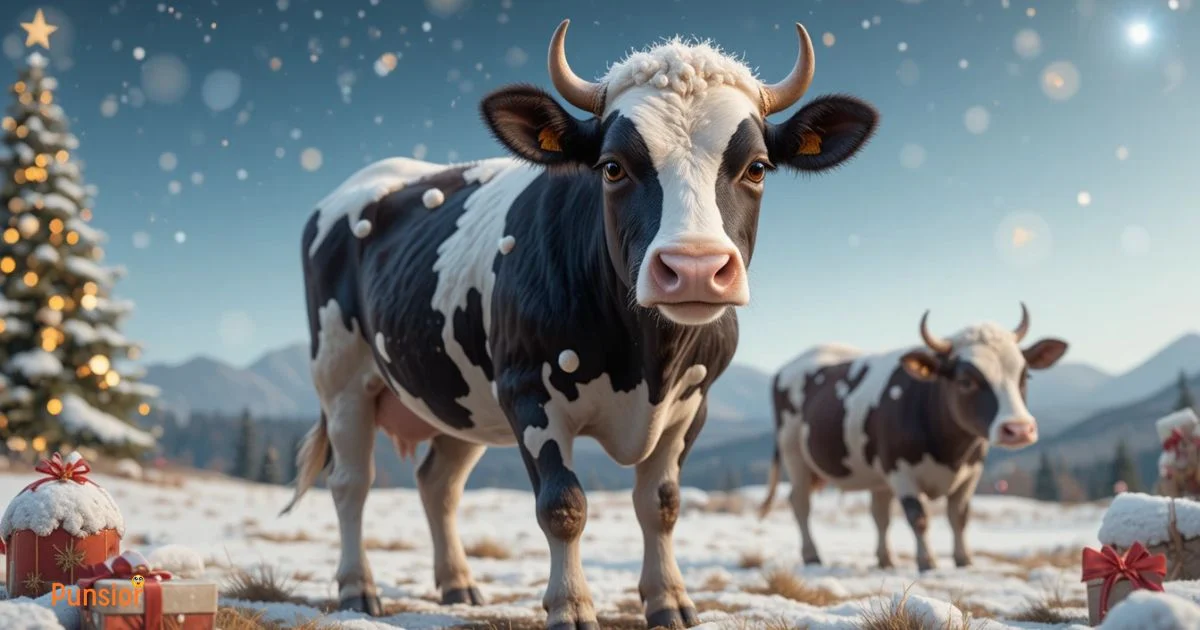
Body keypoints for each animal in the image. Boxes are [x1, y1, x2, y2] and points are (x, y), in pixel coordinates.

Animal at [282, 20, 878, 629]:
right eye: (613, 167)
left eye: (756, 167)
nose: (692, 268)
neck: (649, 362)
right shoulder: (529, 390)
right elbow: (563, 505)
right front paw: (570, 605)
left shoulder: (694, 402)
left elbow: (661, 505)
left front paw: (669, 599)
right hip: (342, 379)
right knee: (351, 483)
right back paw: (357, 588)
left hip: (461, 396)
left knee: (437, 484)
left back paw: (457, 584)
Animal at [758, 305, 1068, 572]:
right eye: (966, 380)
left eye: (1025, 376)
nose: (1019, 429)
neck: (949, 451)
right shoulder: (900, 470)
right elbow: (918, 517)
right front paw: (927, 562)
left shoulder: (971, 472)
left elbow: (959, 516)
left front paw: (964, 560)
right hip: (794, 455)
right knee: (800, 503)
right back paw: (812, 555)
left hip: (874, 474)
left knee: (879, 514)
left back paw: (885, 559)